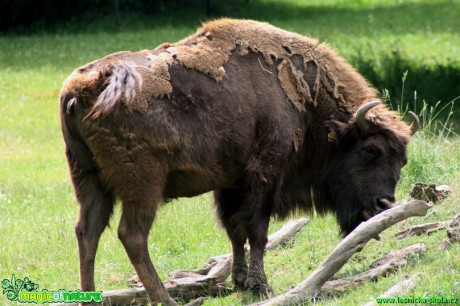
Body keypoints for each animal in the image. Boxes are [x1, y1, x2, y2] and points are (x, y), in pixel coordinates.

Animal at [59, 18, 418, 304]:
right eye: (370, 150)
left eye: (403, 160)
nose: (384, 204)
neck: (303, 98)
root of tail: (79, 89)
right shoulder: (265, 173)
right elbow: (257, 231)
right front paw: (261, 286)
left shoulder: (230, 183)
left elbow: (234, 231)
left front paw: (241, 281)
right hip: (143, 184)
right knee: (132, 235)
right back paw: (164, 298)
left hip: (88, 179)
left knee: (87, 233)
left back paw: (89, 297)